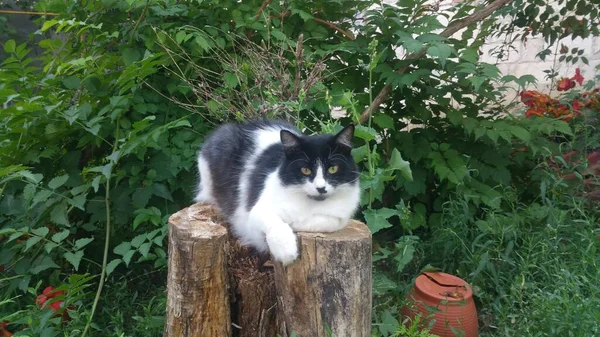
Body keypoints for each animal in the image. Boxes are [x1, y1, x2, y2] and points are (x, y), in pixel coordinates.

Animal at [195, 119, 358, 264]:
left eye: (333, 169)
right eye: (305, 170)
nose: (321, 188)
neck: (310, 202)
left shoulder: (340, 218)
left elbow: (324, 221)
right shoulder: (256, 211)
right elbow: (276, 223)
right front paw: (286, 251)